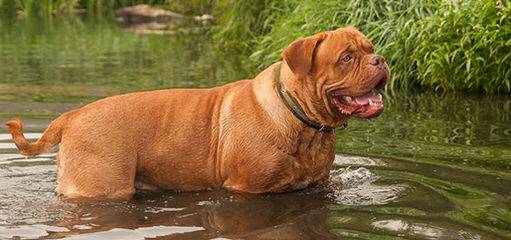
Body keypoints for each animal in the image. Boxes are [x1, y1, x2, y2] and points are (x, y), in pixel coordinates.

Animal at [4, 26, 390, 201]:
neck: (302, 122)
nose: (381, 59)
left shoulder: (318, 182)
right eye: (346, 58)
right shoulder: (246, 189)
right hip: (103, 188)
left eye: (371, 48)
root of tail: (70, 116)